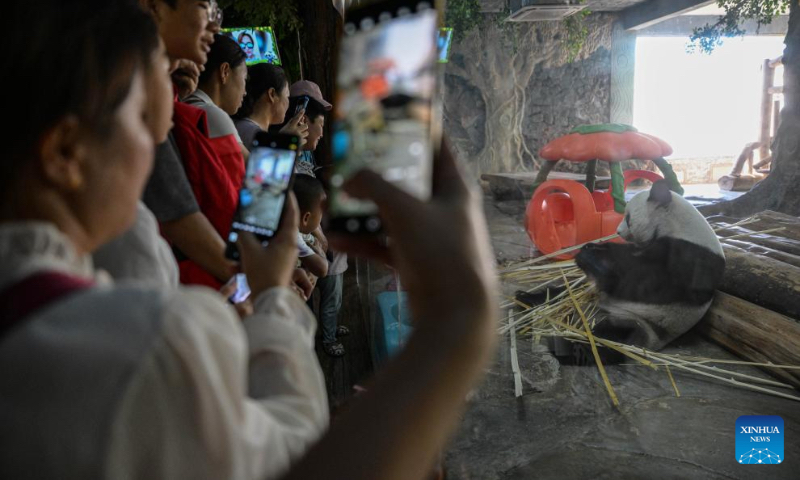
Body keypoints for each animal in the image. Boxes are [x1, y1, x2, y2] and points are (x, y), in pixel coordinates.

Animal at [576, 181, 724, 360]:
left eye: (628, 218)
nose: (618, 231)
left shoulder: (691, 257)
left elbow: (643, 282)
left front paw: (594, 258)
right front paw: (591, 248)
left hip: (638, 322)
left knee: (612, 334)